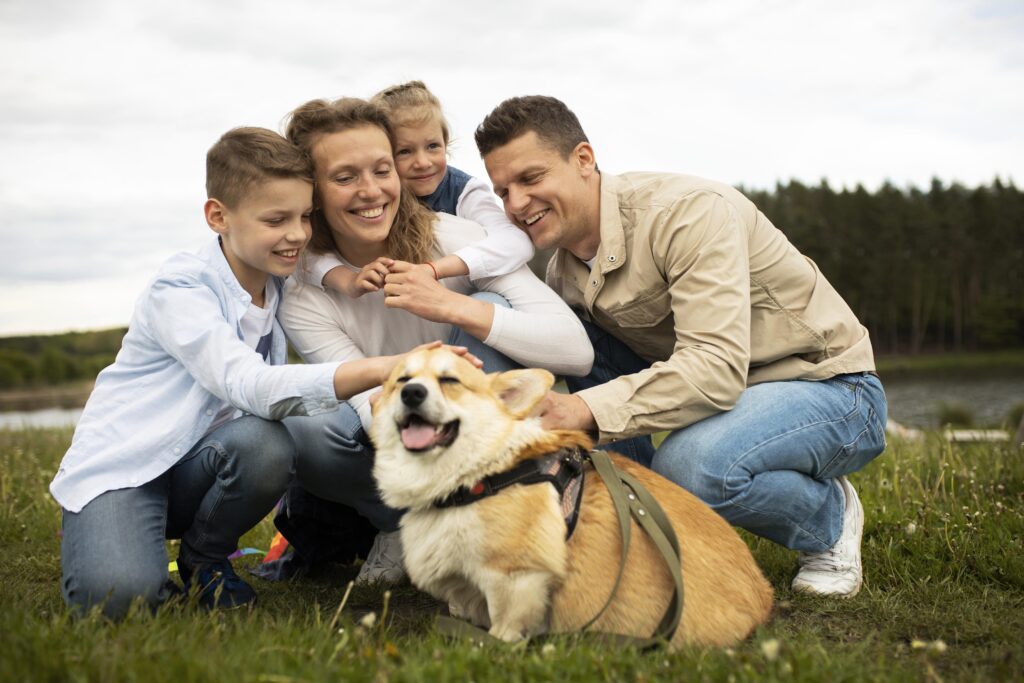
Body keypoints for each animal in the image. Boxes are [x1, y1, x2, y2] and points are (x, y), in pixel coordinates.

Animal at [372, 350, 770, 651]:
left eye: (450, 381)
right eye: (402, 381)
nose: (413, 394)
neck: (480, 473)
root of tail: (763, 600)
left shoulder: (516, 576)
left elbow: (504, 624)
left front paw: (495, 646)